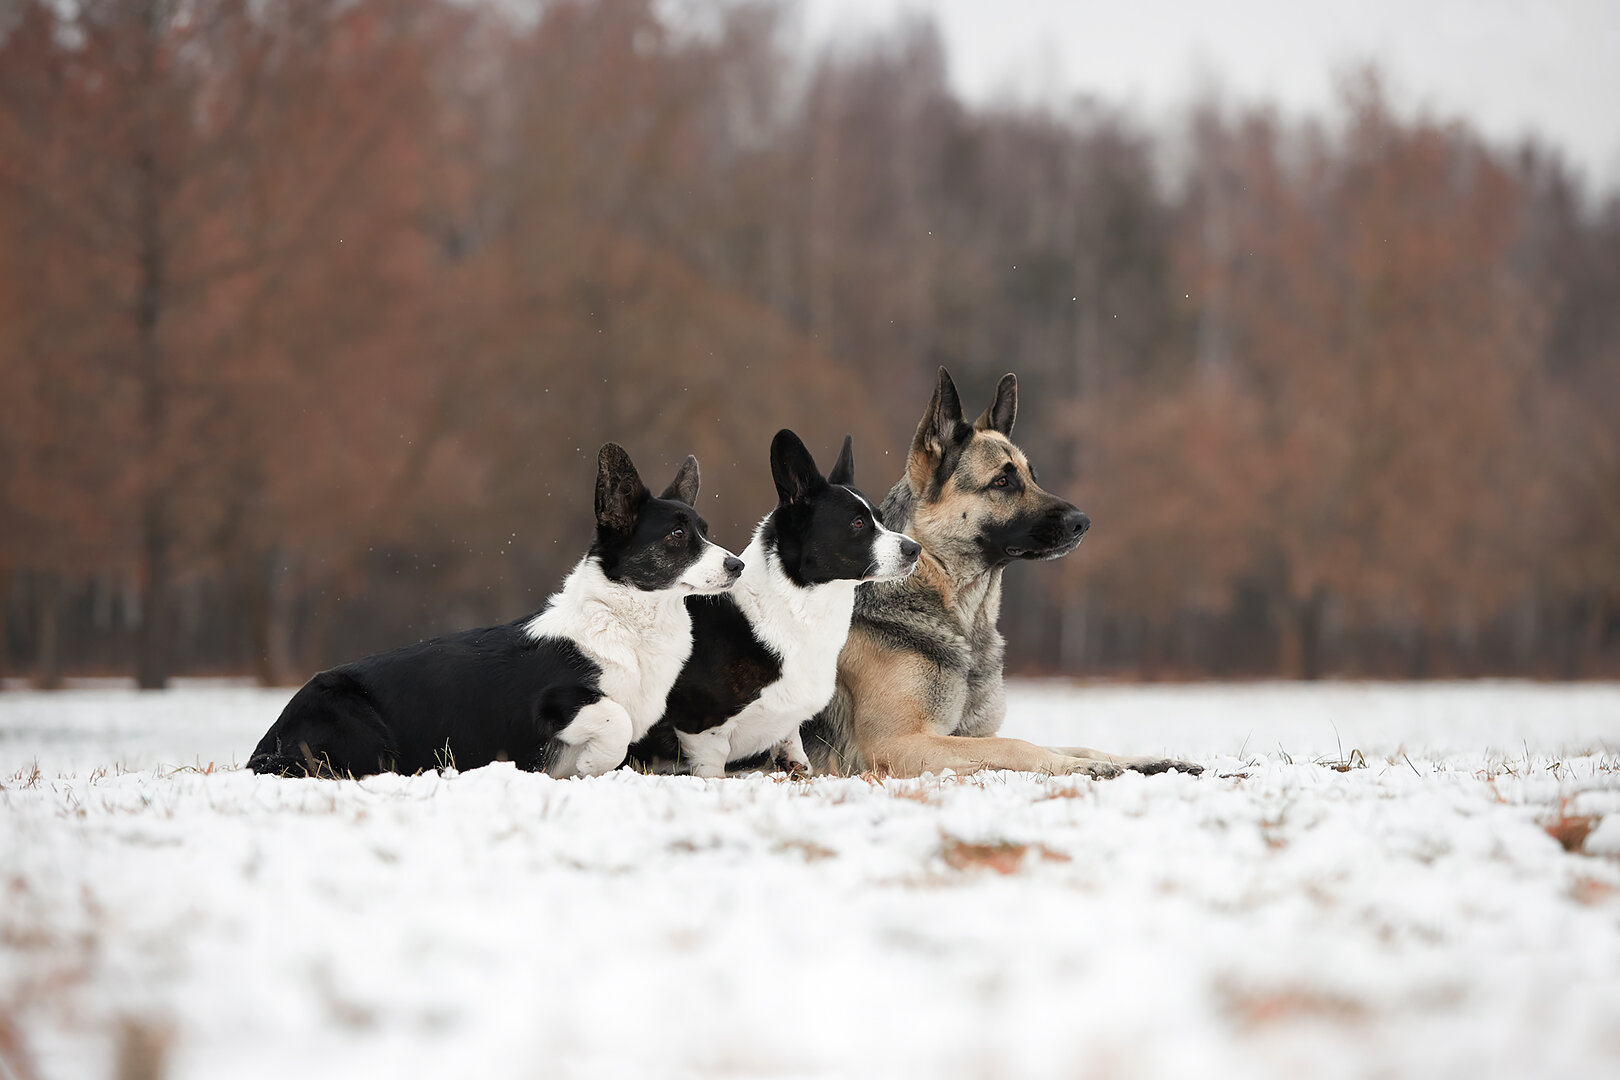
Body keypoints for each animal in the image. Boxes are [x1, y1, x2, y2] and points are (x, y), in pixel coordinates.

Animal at [244, 443, 741, 780]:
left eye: (704, 530)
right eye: (676, 535)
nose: (736, 565)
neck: (625, 618)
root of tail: (268, 741)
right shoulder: (557, 701)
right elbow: (614, 723)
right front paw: (589, 764)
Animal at [625, 430, 920, 777]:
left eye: (881, 519)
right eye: (858, 523)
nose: (915, 549)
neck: (794, 604)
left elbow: (792, 743)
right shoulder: (700, 729)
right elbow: (712, 766)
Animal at [806, 367, 1205, 780]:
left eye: (1033, 477)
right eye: (1002, 481)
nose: (1083, 522)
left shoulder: (962, 735)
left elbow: (1074, 744)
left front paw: (1147, 761)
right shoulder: (896, 744)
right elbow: (1016, 745)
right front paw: (1082, 767)